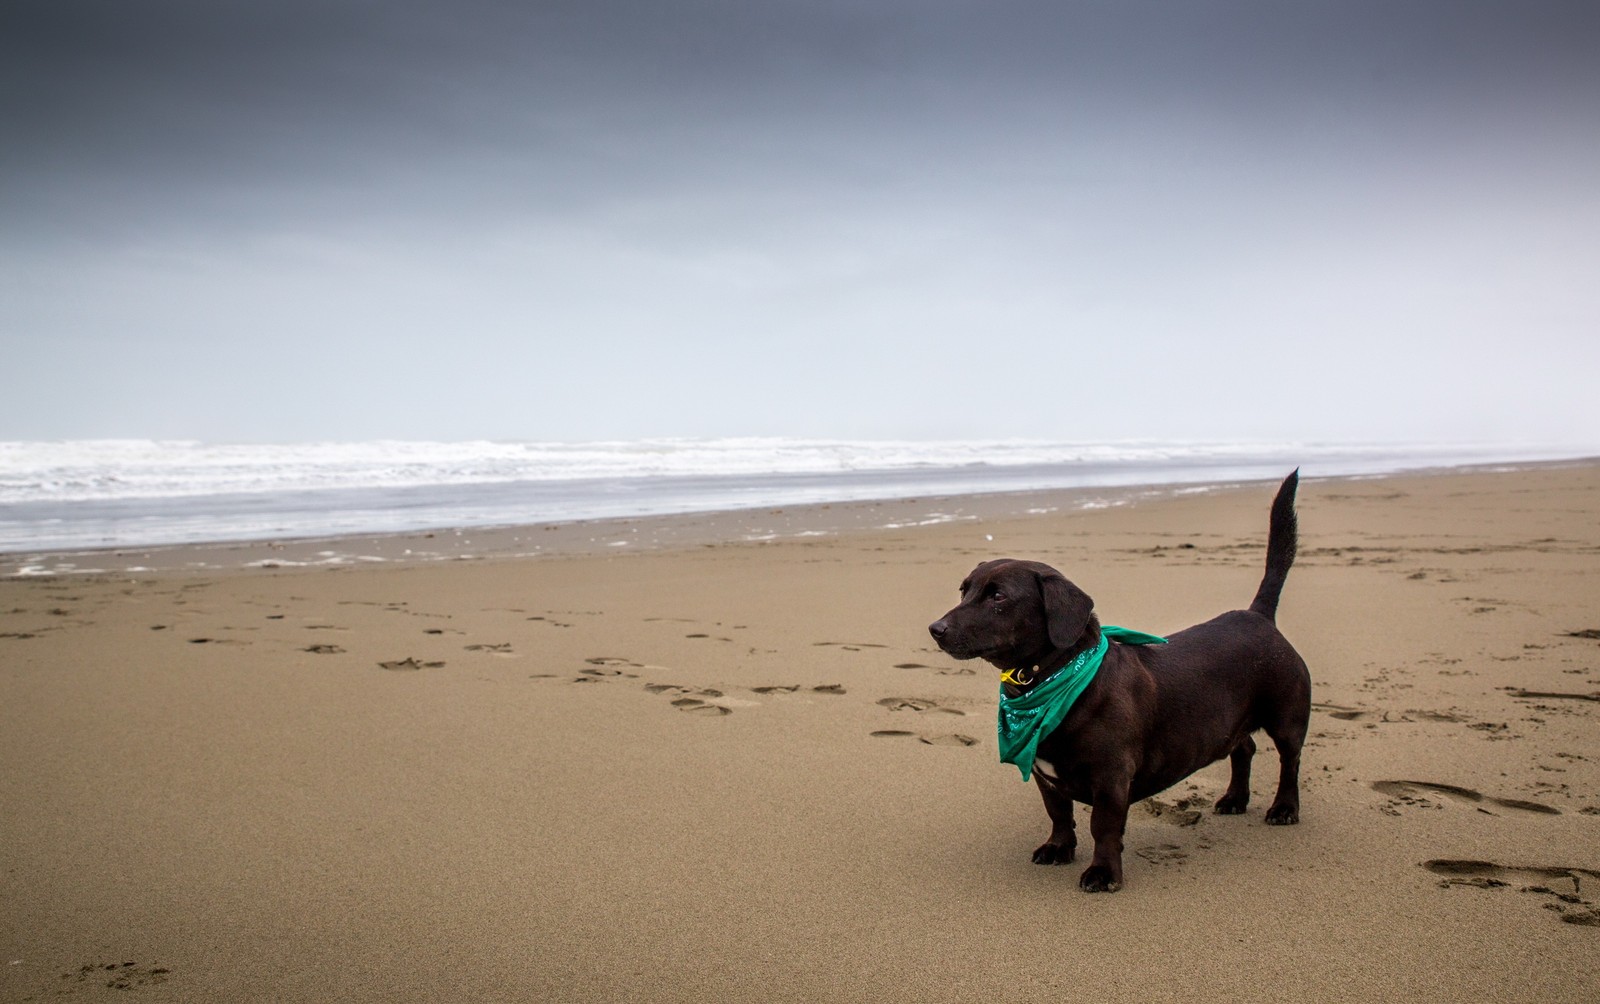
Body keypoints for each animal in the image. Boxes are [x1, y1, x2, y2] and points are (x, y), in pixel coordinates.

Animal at [928, 473, 1312, 895]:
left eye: (998, 596)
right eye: (964, 590)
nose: (935, 629)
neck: (1052, 681)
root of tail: (1258, 616)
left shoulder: (1112, 779)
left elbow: (1104, 828)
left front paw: (1104, 872)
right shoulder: (1047, 779)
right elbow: (1058, 814)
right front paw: (1058, 848)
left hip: (1288, 719)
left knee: (1289, 761)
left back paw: (1284, 808)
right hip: (1228, 724)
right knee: (1244, 748)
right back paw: (1234, 799)